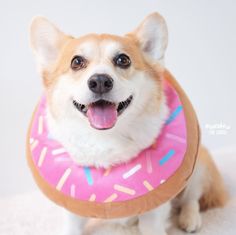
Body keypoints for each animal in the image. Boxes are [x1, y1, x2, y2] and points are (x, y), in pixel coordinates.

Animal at [29, 12, 229, 235]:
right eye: (77, 62)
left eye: (122, 60)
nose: (100, 81)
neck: (105, 137)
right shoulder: (72, 211)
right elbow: (70, 227)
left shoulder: (155, 210)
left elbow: (153, 226)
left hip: (199, 164)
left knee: (191, 198)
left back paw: (189, 219)